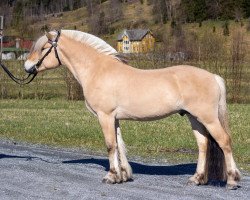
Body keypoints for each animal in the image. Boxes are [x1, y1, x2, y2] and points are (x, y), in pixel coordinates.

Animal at [24, 29, 241, 189]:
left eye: (44, 48)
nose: (27, 66)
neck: (97, 70)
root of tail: (213, 76)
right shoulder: (114, 118)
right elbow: (119, 145)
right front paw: (123, 176)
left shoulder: (105, 116)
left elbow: (110, 145)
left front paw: (111, 177)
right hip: (194, 118)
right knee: (203, 144)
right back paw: (196, 178)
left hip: (208, 118)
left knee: (224, 142)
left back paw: (232, 180)